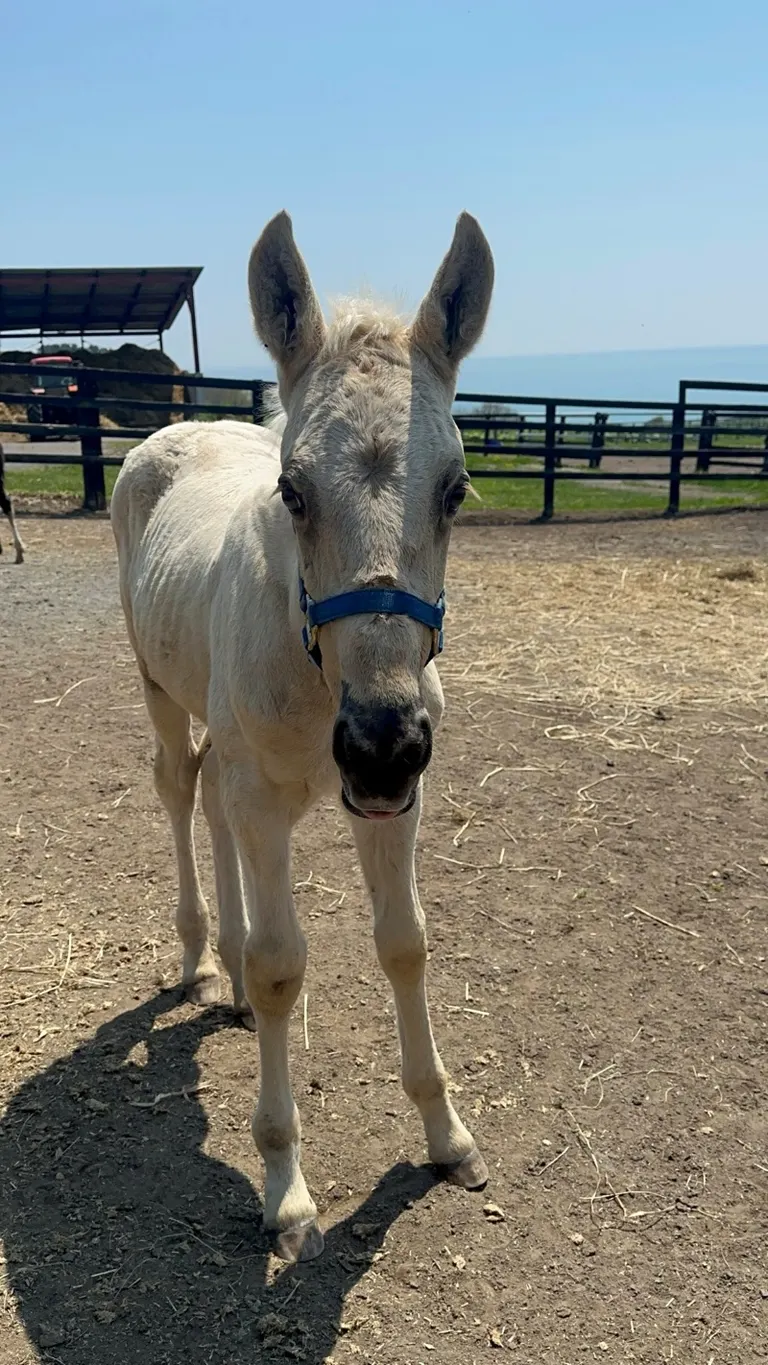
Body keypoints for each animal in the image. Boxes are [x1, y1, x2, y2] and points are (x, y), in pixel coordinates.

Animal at [110, 210, 494, 1263]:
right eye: (291, 490)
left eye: (456, 489)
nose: (381, 742)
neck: (328, 681)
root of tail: (183, 424)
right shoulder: (272, 798)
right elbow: (287, 966)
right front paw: (285, 1189)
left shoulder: (394, 804)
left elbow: (405, 942)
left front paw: (446, 1134)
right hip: (159, 687)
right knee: (178, 788)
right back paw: (206, 960)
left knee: (208, 795)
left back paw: (230, 973)